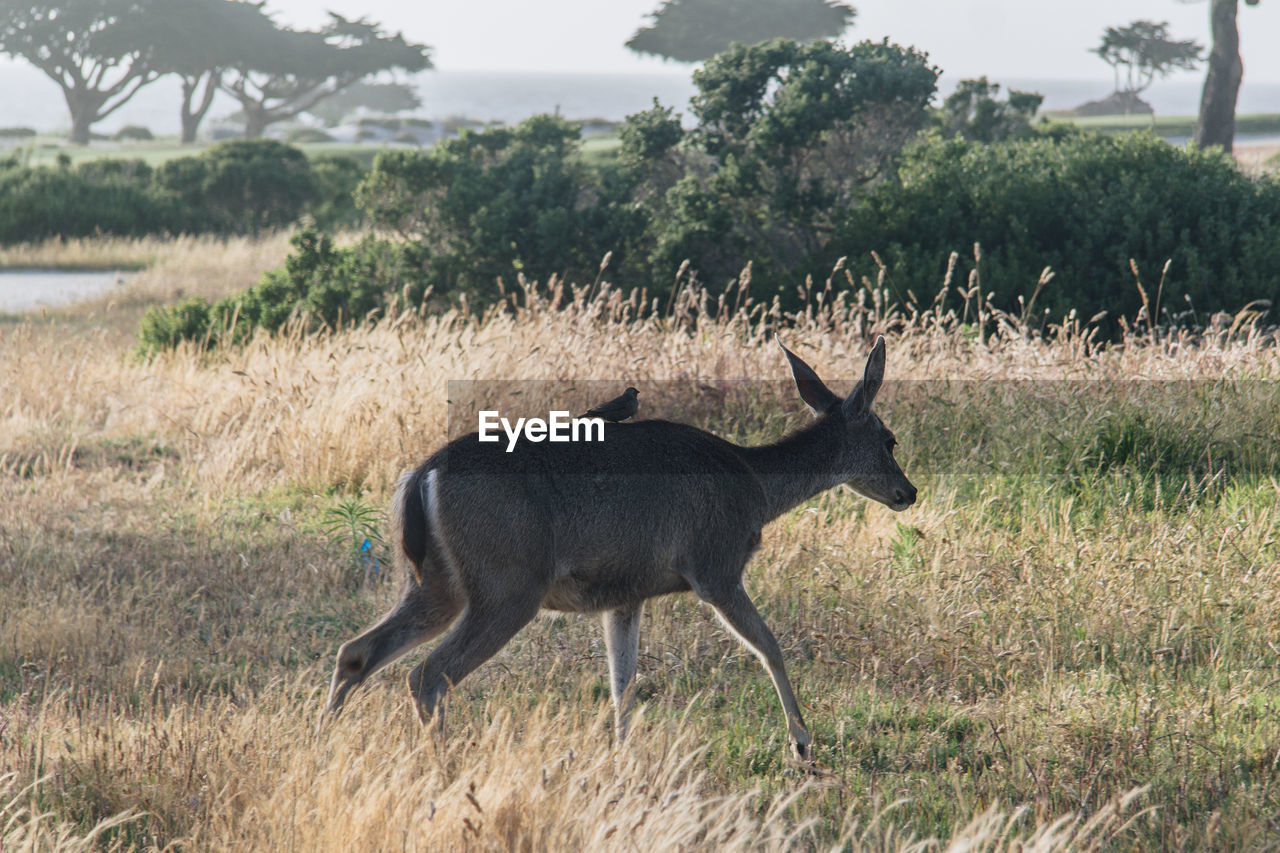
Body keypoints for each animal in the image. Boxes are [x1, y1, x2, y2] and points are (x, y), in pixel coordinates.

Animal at [325, 333, 916, 758]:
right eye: (890, 441)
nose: (907, 492)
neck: (754, 485)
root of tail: (422, 474)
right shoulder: (715, 565)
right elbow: (770, 645)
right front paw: (802, 744)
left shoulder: (626, 593)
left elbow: (622, 683)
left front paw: (621, 755)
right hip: (509, 582)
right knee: (427, 675)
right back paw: (444, 766)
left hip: (438, 580)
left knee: (357, 651)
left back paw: (324, 742)